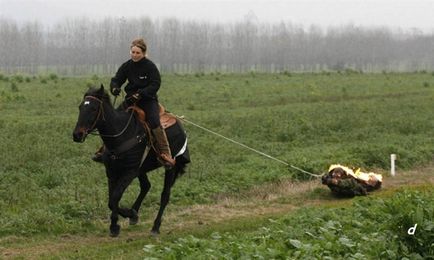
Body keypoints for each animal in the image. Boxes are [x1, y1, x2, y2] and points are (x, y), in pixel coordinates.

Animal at [72, 86, 189, 238]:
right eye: (81, 107)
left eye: (93, 108)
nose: (77, 135)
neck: (121, 135)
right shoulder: (111, 172)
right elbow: (111, 200)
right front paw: (122, 219)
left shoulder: (129, 172)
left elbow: (115, 197)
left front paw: (117, 223)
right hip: (142, 169)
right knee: (146, 186)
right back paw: (134, 213)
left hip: (170, 168)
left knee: (165, 195)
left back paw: (155, 227)